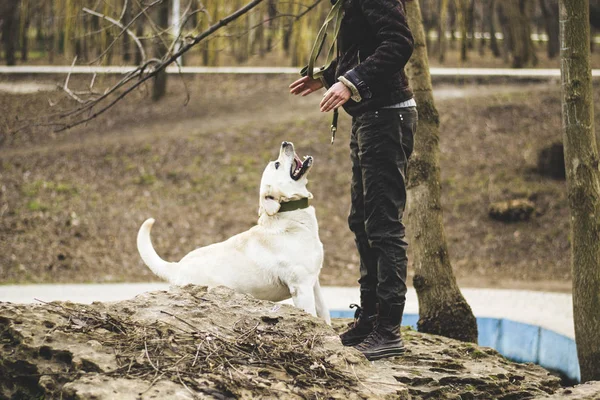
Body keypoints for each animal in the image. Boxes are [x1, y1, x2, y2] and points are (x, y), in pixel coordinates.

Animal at [138, 141, 330, 324]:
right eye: (277, 164)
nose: (284, 143)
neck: (289, 217)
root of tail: (177, 267)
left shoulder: (314, 283)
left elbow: (324, 313)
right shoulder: (301, 287)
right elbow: (312, 314)